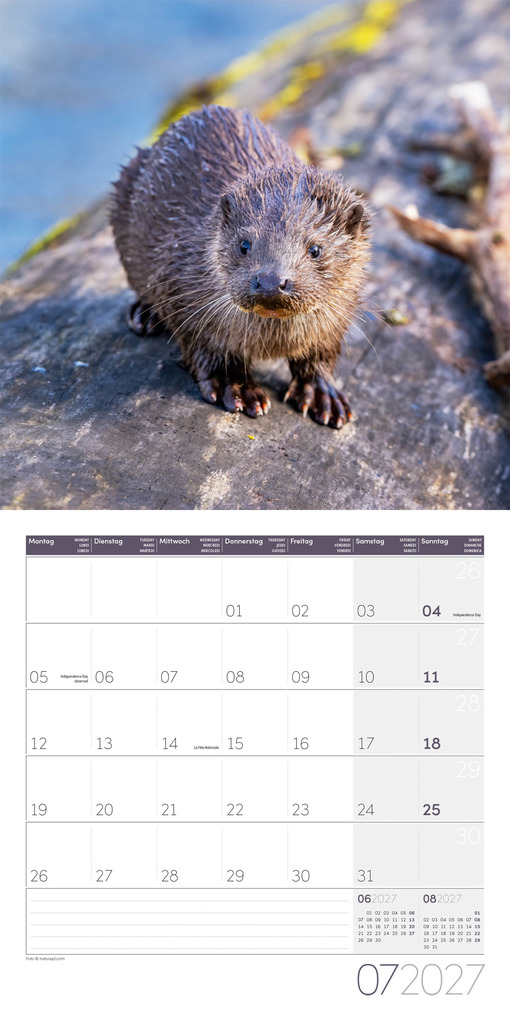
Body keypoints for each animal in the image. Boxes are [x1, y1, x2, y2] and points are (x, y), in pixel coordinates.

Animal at [111, 105, 370, 427]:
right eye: (244, 244)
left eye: (316, 249)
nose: (271, 281)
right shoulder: (182, 290)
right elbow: (210, 349)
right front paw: (234, 385)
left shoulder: (338, 315)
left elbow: (320, 354)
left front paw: (323, 394)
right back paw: (145, 316)